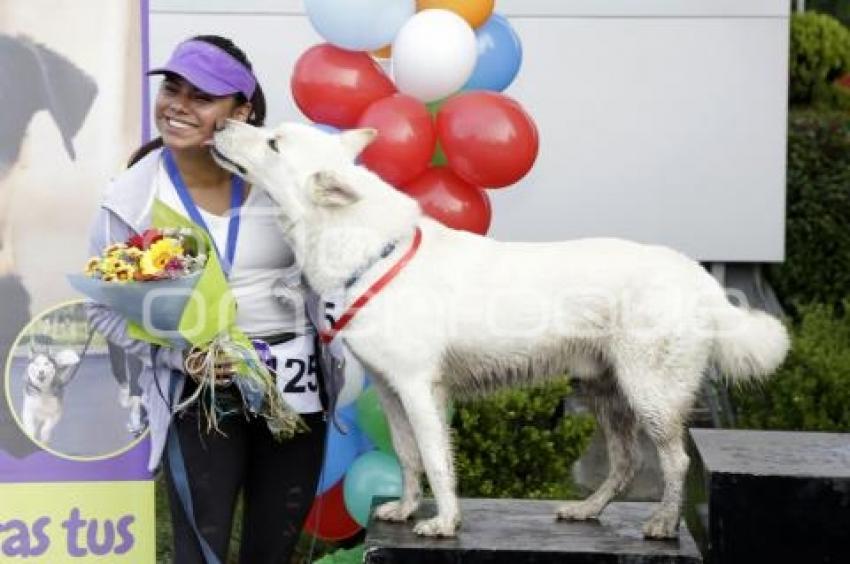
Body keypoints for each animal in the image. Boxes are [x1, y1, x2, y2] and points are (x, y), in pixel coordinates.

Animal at [214, 122, 788, 536]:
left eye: (273, 142)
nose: (221, 125)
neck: (373, 252)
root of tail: (700, 278)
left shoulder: (420, 389)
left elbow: (435, 460)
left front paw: (444, 522)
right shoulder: (391, 390)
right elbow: (406, 456)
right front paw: (406, 508)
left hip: (650, 395)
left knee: (675, 461)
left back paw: (664, 523)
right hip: (606, 392)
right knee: (625, 465)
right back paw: (587, 510)